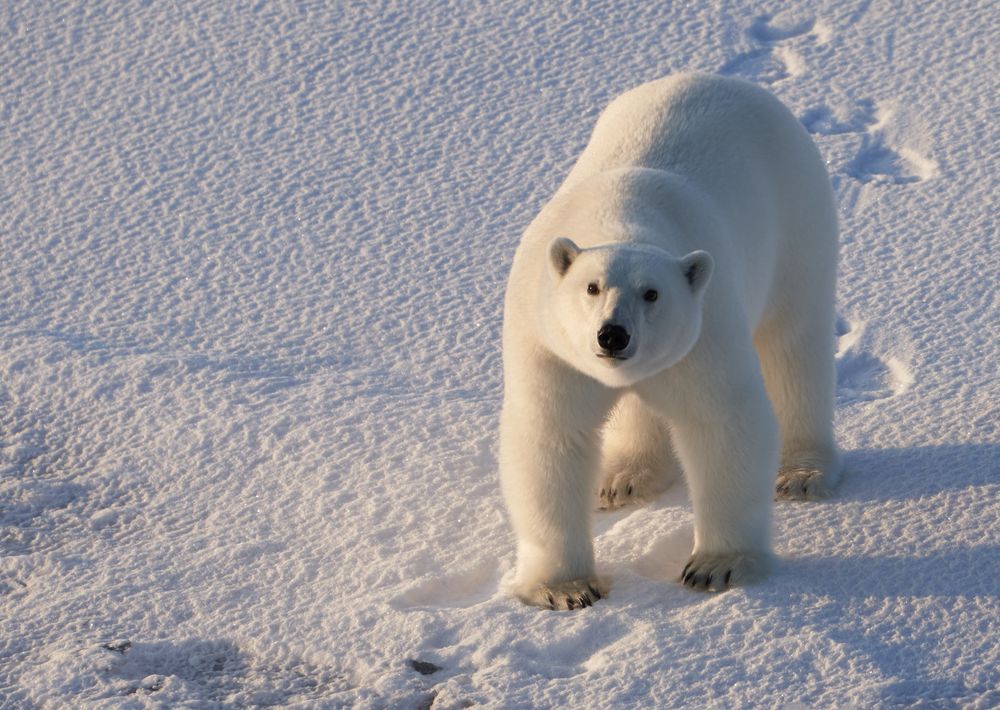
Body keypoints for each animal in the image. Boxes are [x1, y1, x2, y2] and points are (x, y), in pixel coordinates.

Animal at [498, 76, 836, 612]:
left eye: (652, 293)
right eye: (591, 287)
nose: (613, 335)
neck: (619, 216)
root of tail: (727, 81)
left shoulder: (704, 332)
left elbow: (722, 422)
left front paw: (716, 566)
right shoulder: (550, 347)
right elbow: (553, 436)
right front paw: (567, 589)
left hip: (798, 222)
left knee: (794, 346)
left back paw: (802, 472)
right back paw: (622, 478)